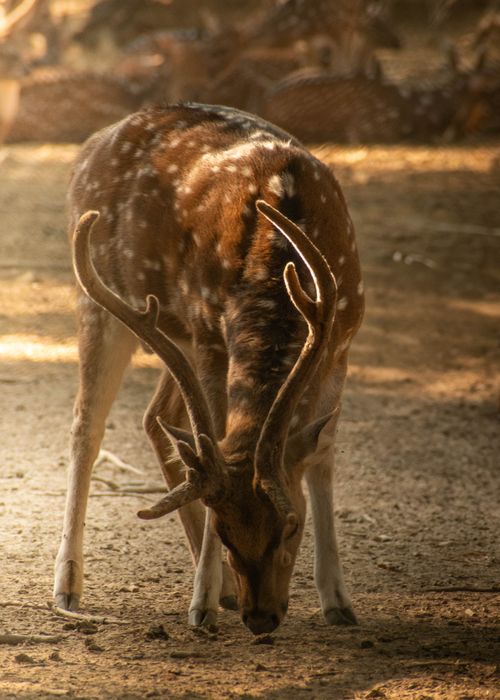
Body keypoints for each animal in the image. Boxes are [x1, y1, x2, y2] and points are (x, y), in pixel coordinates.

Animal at [54, 103, 364, 635]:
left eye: (292, 525)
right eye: (224, 529)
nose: (260, 617)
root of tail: (91, 145)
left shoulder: (341, 340)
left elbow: (321, 453)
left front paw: (339, 603)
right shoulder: (209, 335)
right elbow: (217, 438)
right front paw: (200, 602)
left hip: (167, 329)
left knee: (157, 417)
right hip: (98, 302)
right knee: (86, 425)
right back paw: (69, 585)